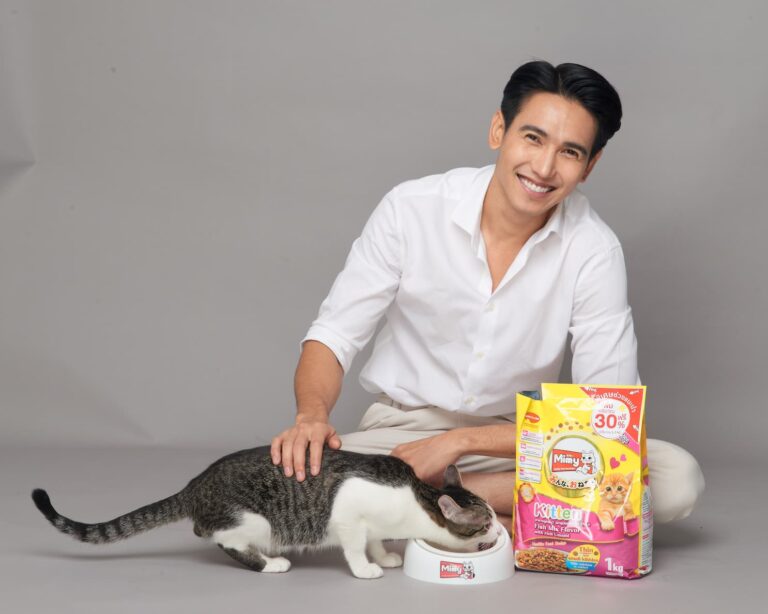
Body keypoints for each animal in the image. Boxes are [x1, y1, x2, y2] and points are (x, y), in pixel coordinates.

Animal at [32, 446, 501, 579]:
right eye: (486, 524)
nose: (499, 532)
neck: (416, 498)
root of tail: (195, 485)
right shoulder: (348, 516)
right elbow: (354, 546)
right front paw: (367, 568)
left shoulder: (372, 524)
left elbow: (376, 539)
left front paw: (383, 555)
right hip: (250, 519)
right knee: (219, 537)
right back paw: (270, 562)